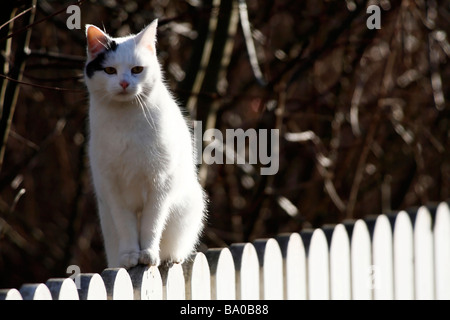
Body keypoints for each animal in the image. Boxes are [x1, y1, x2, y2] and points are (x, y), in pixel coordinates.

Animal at [83, 20, 207, 268]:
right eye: (109, 70)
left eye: (137, 70)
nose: (124, 83)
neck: (126, 121)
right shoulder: (113, 189)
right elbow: (126, 227)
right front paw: (130, 256)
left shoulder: (159, 184)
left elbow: (152, 224)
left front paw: (148, 254)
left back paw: (171, 257)